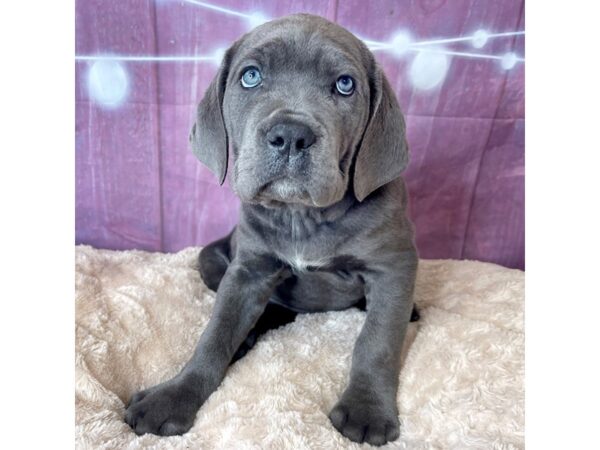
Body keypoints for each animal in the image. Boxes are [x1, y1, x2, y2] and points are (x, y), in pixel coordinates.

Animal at [125, 13, 420, 446]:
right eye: (250, 77)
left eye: (344, 84)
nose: (292, 135)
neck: (301, 215)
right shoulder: (247, 272)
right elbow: (215, 334)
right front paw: (173, 397)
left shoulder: (393, 268)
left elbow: (378, 341)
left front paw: (367, 409)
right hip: (209, 260)